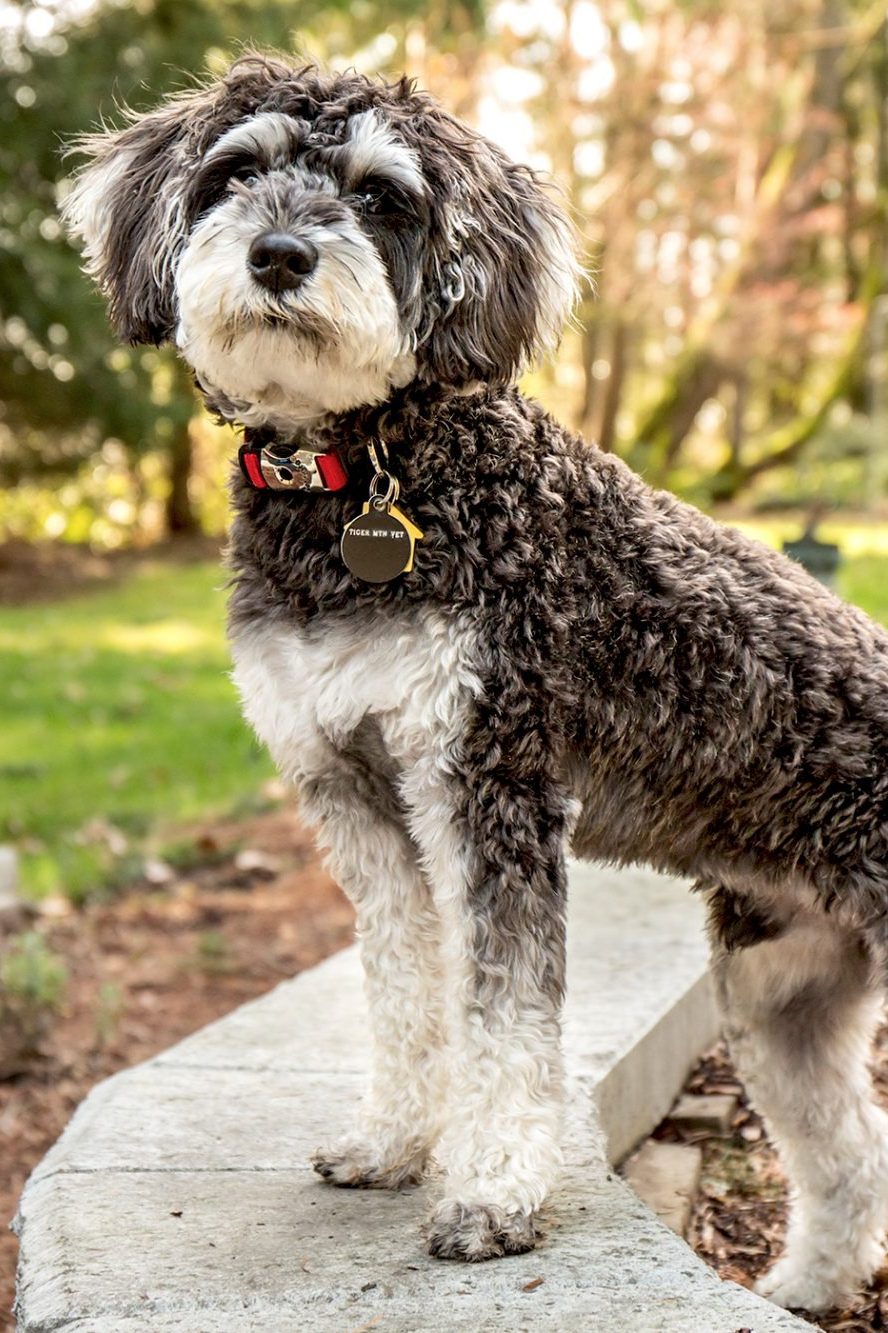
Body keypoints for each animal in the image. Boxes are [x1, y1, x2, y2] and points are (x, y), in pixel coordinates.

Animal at [62, 54, 885, 1311]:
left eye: (381, 196)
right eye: (235, 172)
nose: (280, 255)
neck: (358, 479)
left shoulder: (485, 778)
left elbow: (503, 1008)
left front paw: (494, 1192)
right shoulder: (356, 794)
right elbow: (406, 983)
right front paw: (393, 1141)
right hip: (780, 988)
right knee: (848, 1141)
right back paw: (808, 1282)